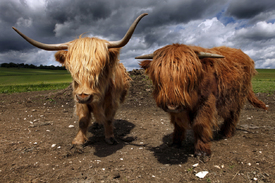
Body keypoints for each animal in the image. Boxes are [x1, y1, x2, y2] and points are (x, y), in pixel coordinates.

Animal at [13, 12, 149, 145]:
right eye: (73, 71)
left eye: (101, 69)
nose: (84, 96)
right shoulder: (80, 101)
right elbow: (83, 120)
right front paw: (79, 141)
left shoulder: (112, 101)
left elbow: (109, 119)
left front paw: (110, 137)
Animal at [137, 43, 268, 158]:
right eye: (158, 77)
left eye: (189, 77)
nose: (172, 106)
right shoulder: (177, 110)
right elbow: (178, 124)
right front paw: (176, 143)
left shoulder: (206, 101)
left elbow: (200, 123)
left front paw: (202, 151)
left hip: (237, 98)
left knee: (233, 115)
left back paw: (227, 133)